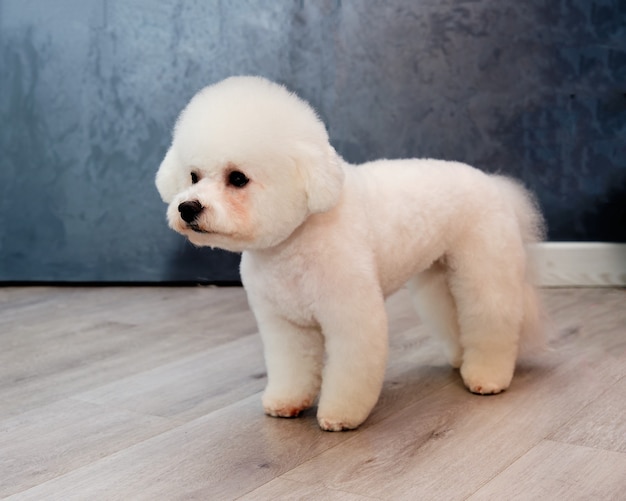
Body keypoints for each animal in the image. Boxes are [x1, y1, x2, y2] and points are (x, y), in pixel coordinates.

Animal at [155, 75, 540, 430]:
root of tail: (495, 184)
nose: (188, 208)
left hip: (485, 269)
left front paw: (340, 416)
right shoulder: (286, 324)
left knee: (492, 320)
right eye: (193, 176)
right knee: (454, 317)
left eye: (237, 178)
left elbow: (350, 372)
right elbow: (291, 369)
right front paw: (286, 402)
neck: (296, 239)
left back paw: (487, 377)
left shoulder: (351, 317)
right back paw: (462, 360)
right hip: (439, 276)